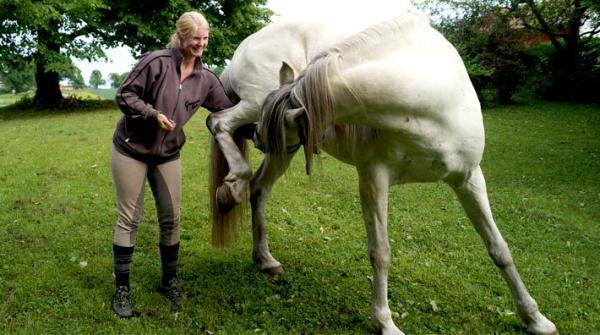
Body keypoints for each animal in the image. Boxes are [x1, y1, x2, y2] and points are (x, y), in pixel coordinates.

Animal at [206, 9, 556, 334]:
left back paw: (264, 257)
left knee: (258, 188)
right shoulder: (374, 179)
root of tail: (243, 49)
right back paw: (231, 188)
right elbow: (380, 252)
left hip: (282, 149)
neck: (430, 93)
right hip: (256, 112)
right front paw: (385, 322)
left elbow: (499, 248)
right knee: (218, 123)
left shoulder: (469, 179)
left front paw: (535, 318)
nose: (257, 136)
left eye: (273, 127)